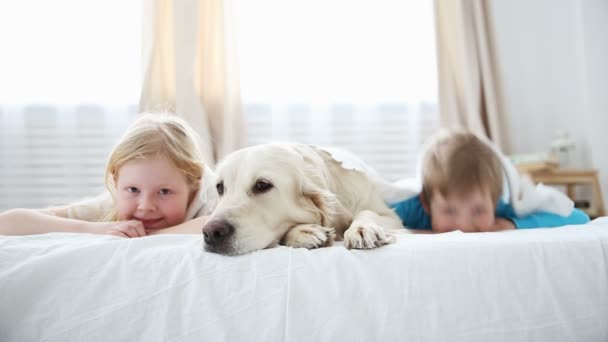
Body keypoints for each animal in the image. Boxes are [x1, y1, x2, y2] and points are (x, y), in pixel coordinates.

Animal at [202, 143, 406, 255]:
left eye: (262, 185)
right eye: (220, 187)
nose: (211, 232)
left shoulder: (391, 217)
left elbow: (369, 212)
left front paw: (363, 229)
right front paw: (302, 232)